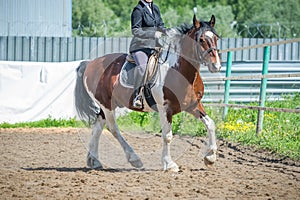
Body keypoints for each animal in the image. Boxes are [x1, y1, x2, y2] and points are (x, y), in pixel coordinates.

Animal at [74, 14, 221, 172]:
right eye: (201, 40)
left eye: (216, 38)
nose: (216, 65)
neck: (178, 70)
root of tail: (90, 63)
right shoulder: (165, 108)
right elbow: (167, 136)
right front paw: (169, 164)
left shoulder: (193, 105)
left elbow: (210, 124)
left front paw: (210, 158)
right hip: (107, 105)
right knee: (113, 129)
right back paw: (134, 159)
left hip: (106, 105)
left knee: (97, 127)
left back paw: (94, 160)